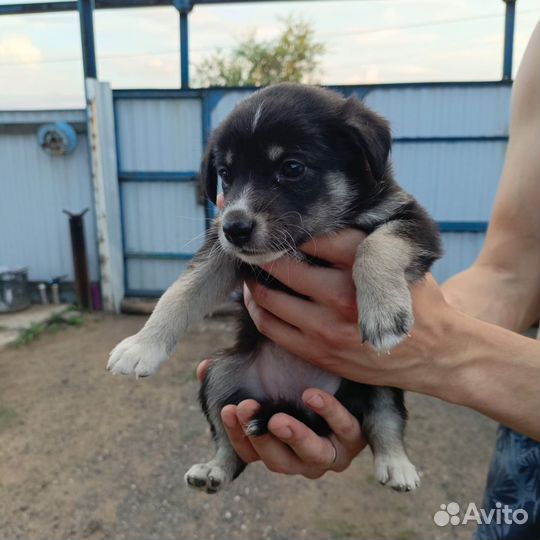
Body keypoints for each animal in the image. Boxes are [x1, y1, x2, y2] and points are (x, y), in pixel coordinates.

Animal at [107, 83, 440, 494]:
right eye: (226, 173)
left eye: (292, 168)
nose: (234, 228)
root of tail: (290, 399)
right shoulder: (222, 251)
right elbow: (180, 292)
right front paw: (141, 346)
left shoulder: (412, 221)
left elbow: (376, 244)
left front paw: (382, 312)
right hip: (218, 375)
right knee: (226, 438)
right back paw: (213, 470)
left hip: (379, 378)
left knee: (386, 417)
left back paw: (397, 464)